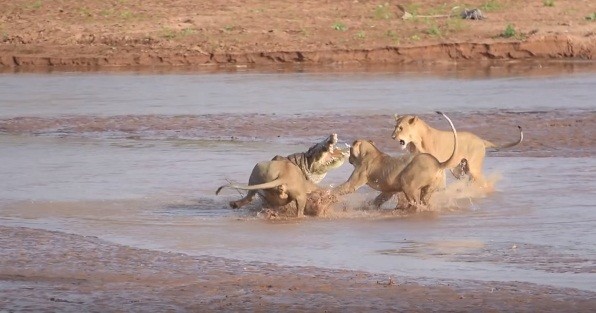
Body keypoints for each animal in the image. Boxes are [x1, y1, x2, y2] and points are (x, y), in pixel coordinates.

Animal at [392, 112, 520, 184]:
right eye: (395, 127)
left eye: (401, 128)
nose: (392, 137)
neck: (417, 141)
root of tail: (480, 140)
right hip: (459, 169)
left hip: (474, 167)